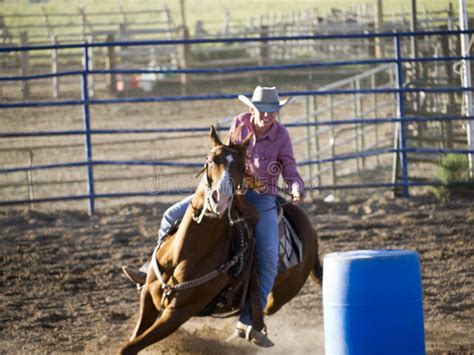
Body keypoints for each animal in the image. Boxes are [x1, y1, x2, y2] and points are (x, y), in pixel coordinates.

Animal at [120, 126, 324, 354]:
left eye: (242, 167)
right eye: (210, 160)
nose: (221, 198)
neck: (185, 254)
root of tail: (309, 228)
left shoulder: (177, 314)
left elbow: (129, 347)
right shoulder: (148, 298)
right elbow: (131, 341)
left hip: (278, 297)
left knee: (261, 309)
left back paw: (248, 333)